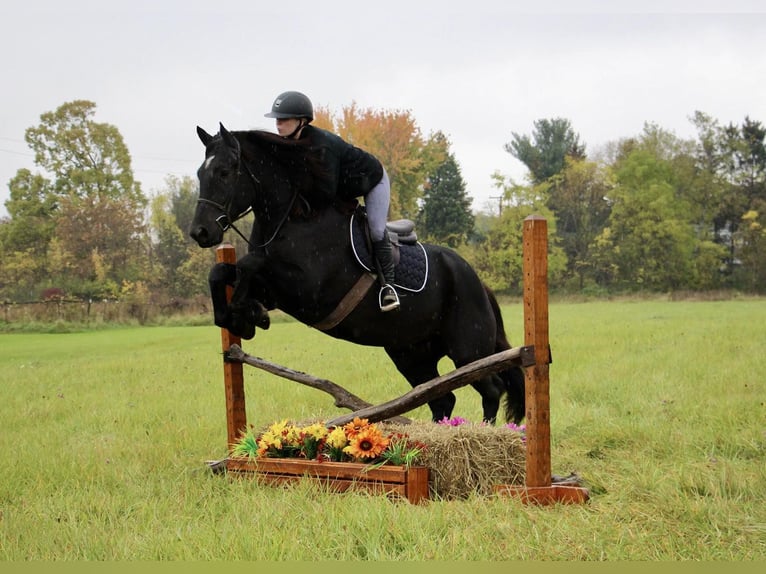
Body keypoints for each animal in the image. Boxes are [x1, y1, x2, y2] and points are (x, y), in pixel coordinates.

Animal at [190, 124, 528, 426]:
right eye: (199, 174)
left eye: (225, 172)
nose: (200, 233)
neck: (292, 217)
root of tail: (478, 282)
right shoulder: (275, 290)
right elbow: (222, 271)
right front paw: (241, 318)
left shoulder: (307, 289)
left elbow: (250, 264)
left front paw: (249, 316)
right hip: (410, 354)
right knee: (441, 397)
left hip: (468, 350)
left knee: (491, 390)